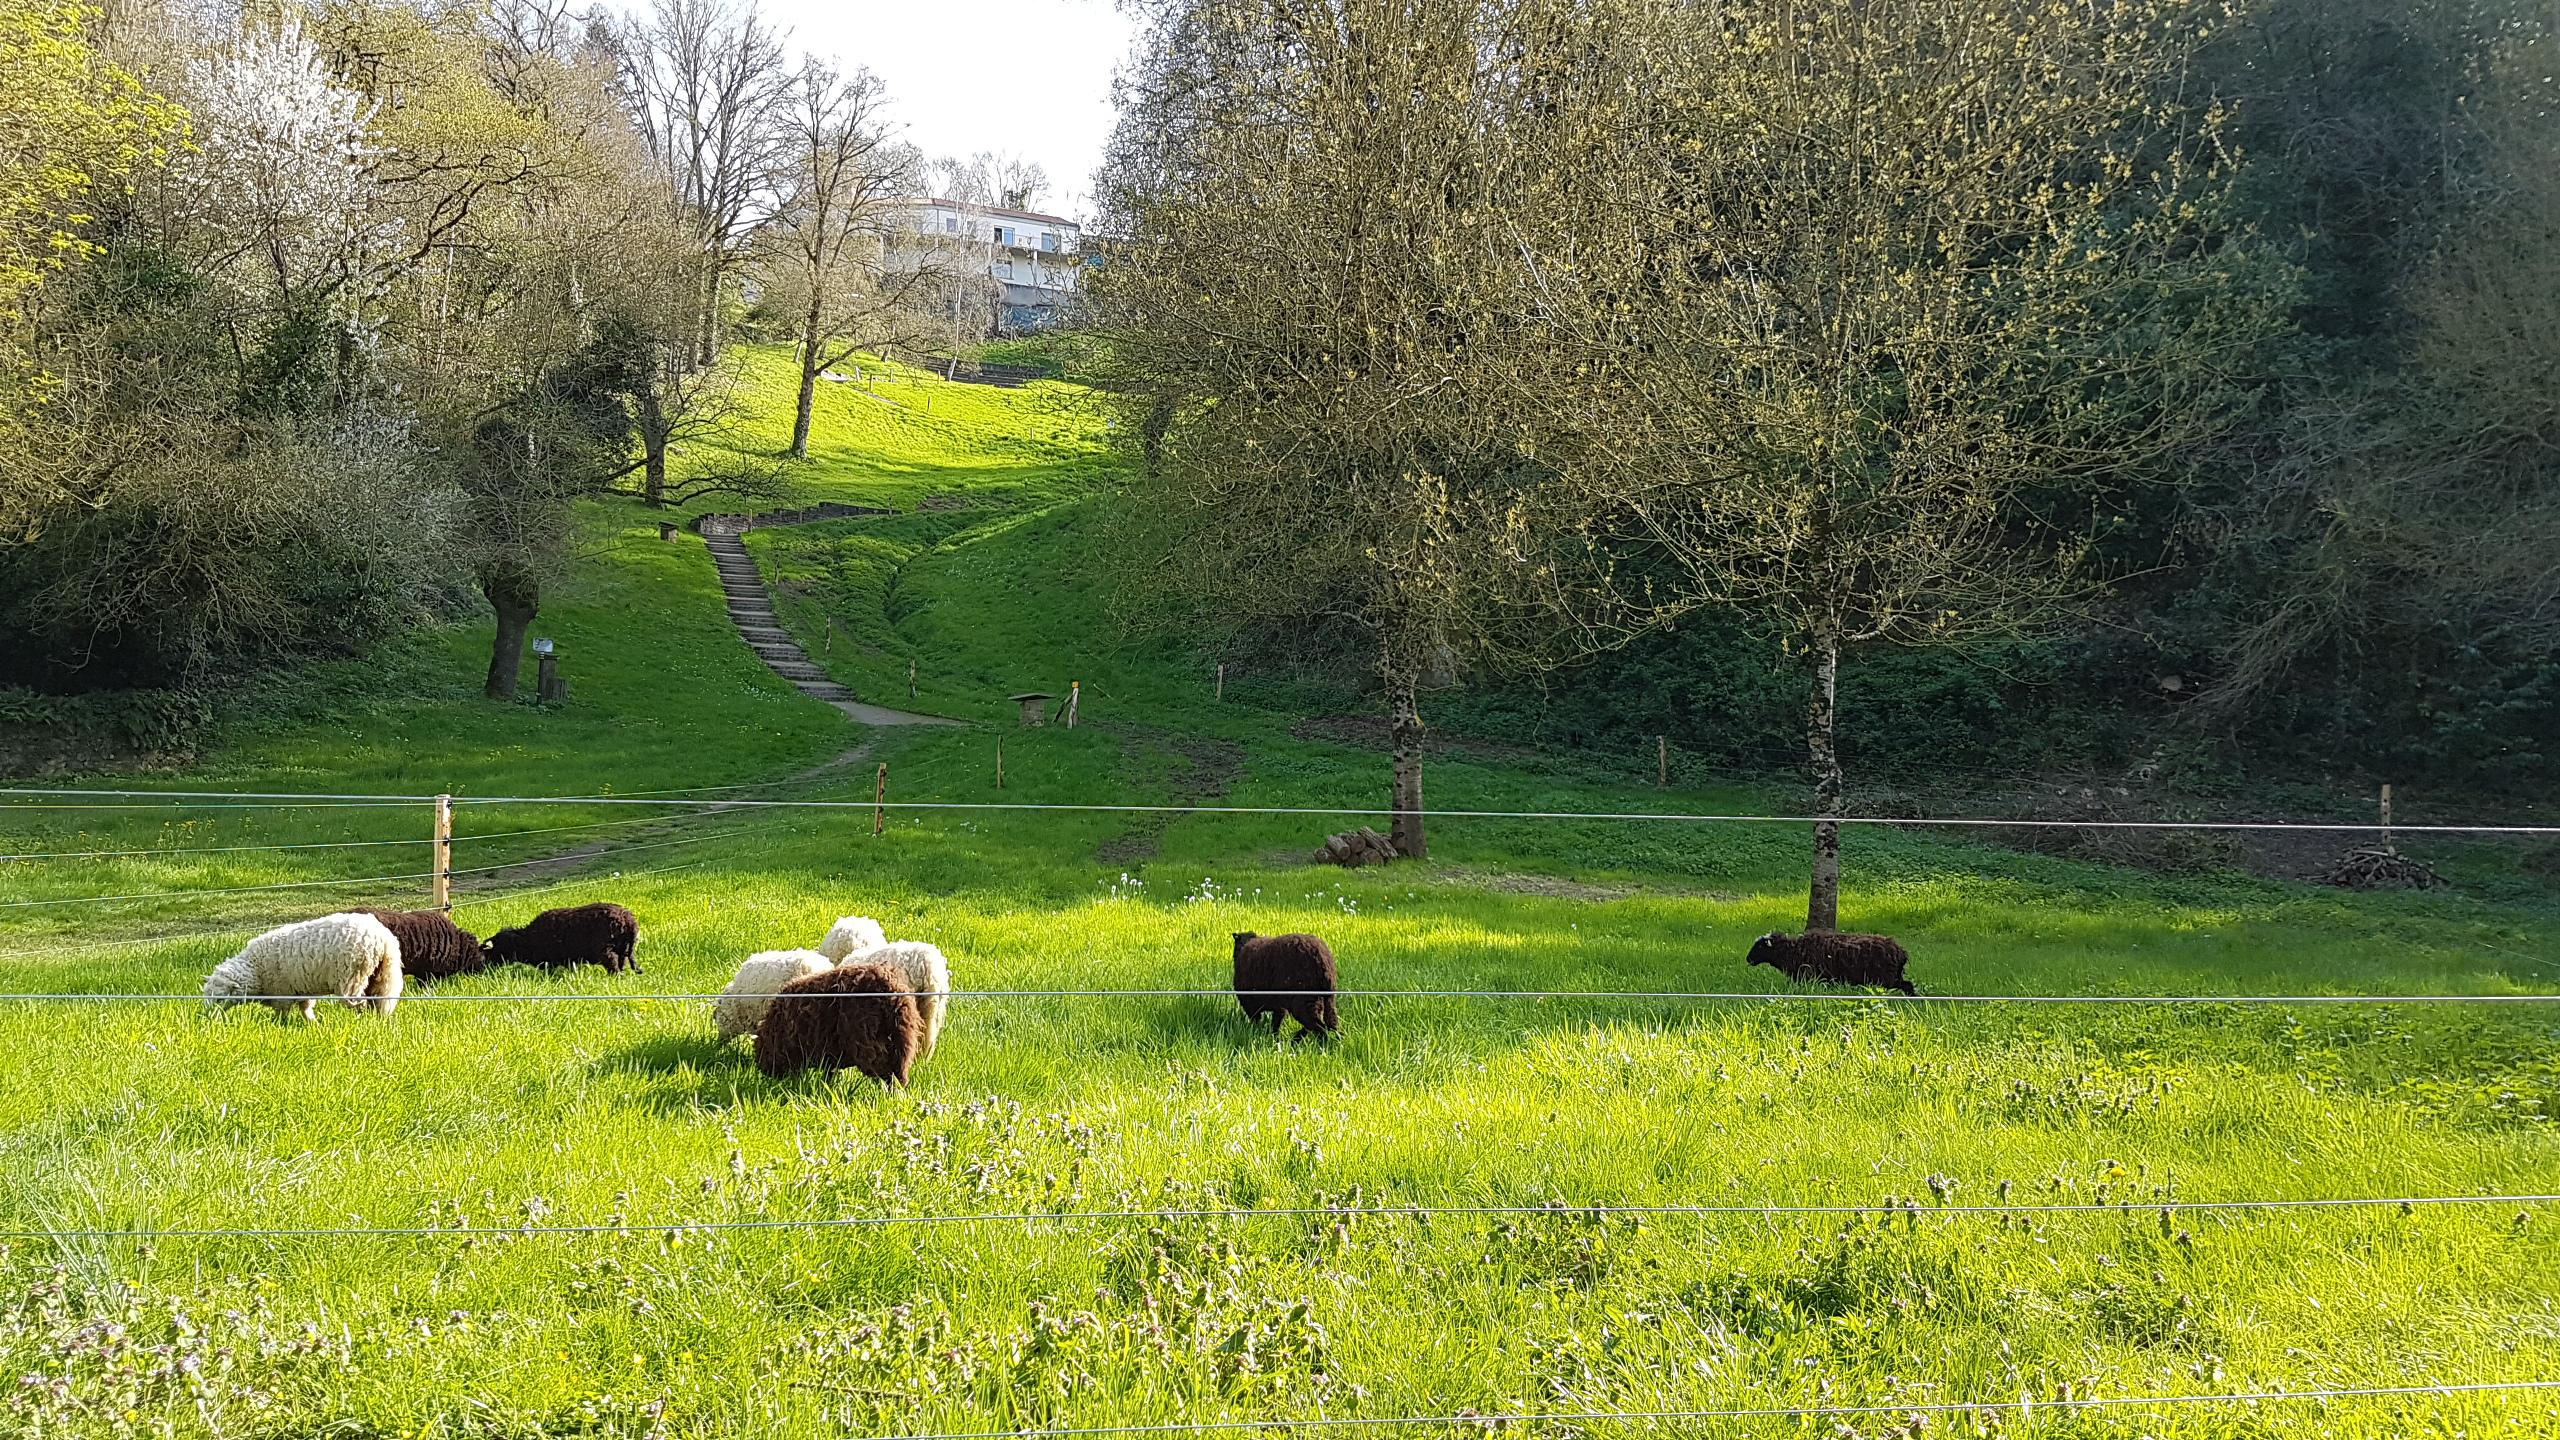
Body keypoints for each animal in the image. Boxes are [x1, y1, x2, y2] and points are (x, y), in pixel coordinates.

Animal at [204, 907, 404, 1019]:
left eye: (219, 998)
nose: (208, 1018)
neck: (256, 968)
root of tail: (383, 939)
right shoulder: (301, 989)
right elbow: (306, 1009)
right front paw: (314, 1025)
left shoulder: (281, 993)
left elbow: (283, 1016)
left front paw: (280, 1027)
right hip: (381, 974)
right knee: (378, 1000)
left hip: (353, 976)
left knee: (359, 1003)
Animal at [481, 901, 645, 968]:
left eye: (500, 946)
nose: (489, 964)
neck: (529, 940)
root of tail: (629, 920)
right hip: (625, 948)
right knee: (622, 962)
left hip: (605, 949)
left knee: (613, 962)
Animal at [1740, 922, 1925, 994]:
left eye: (1759, 946)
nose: (1748, 959)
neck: (1790, 951)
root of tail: (1901, 952)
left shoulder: (1808, 976)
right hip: (1892, 977)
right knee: (1908, 986)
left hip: (1887, 978)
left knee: (1906, 986)